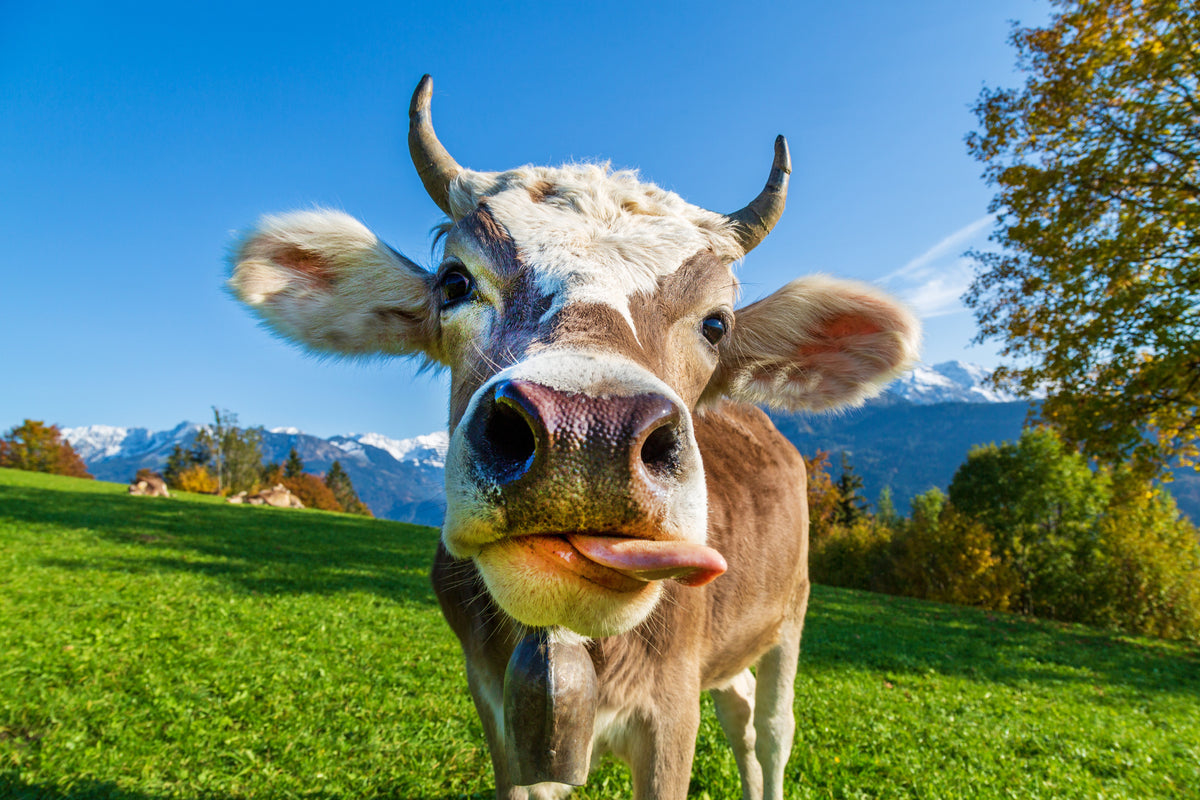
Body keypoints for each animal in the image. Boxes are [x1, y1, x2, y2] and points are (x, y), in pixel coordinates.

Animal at [228, 75, 919, 800]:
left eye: (717, 324)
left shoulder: (672, 708)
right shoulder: (498, 707)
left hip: (792, 609)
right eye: (454, 282)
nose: (588, 436)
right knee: (740, 712)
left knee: (771, 730)